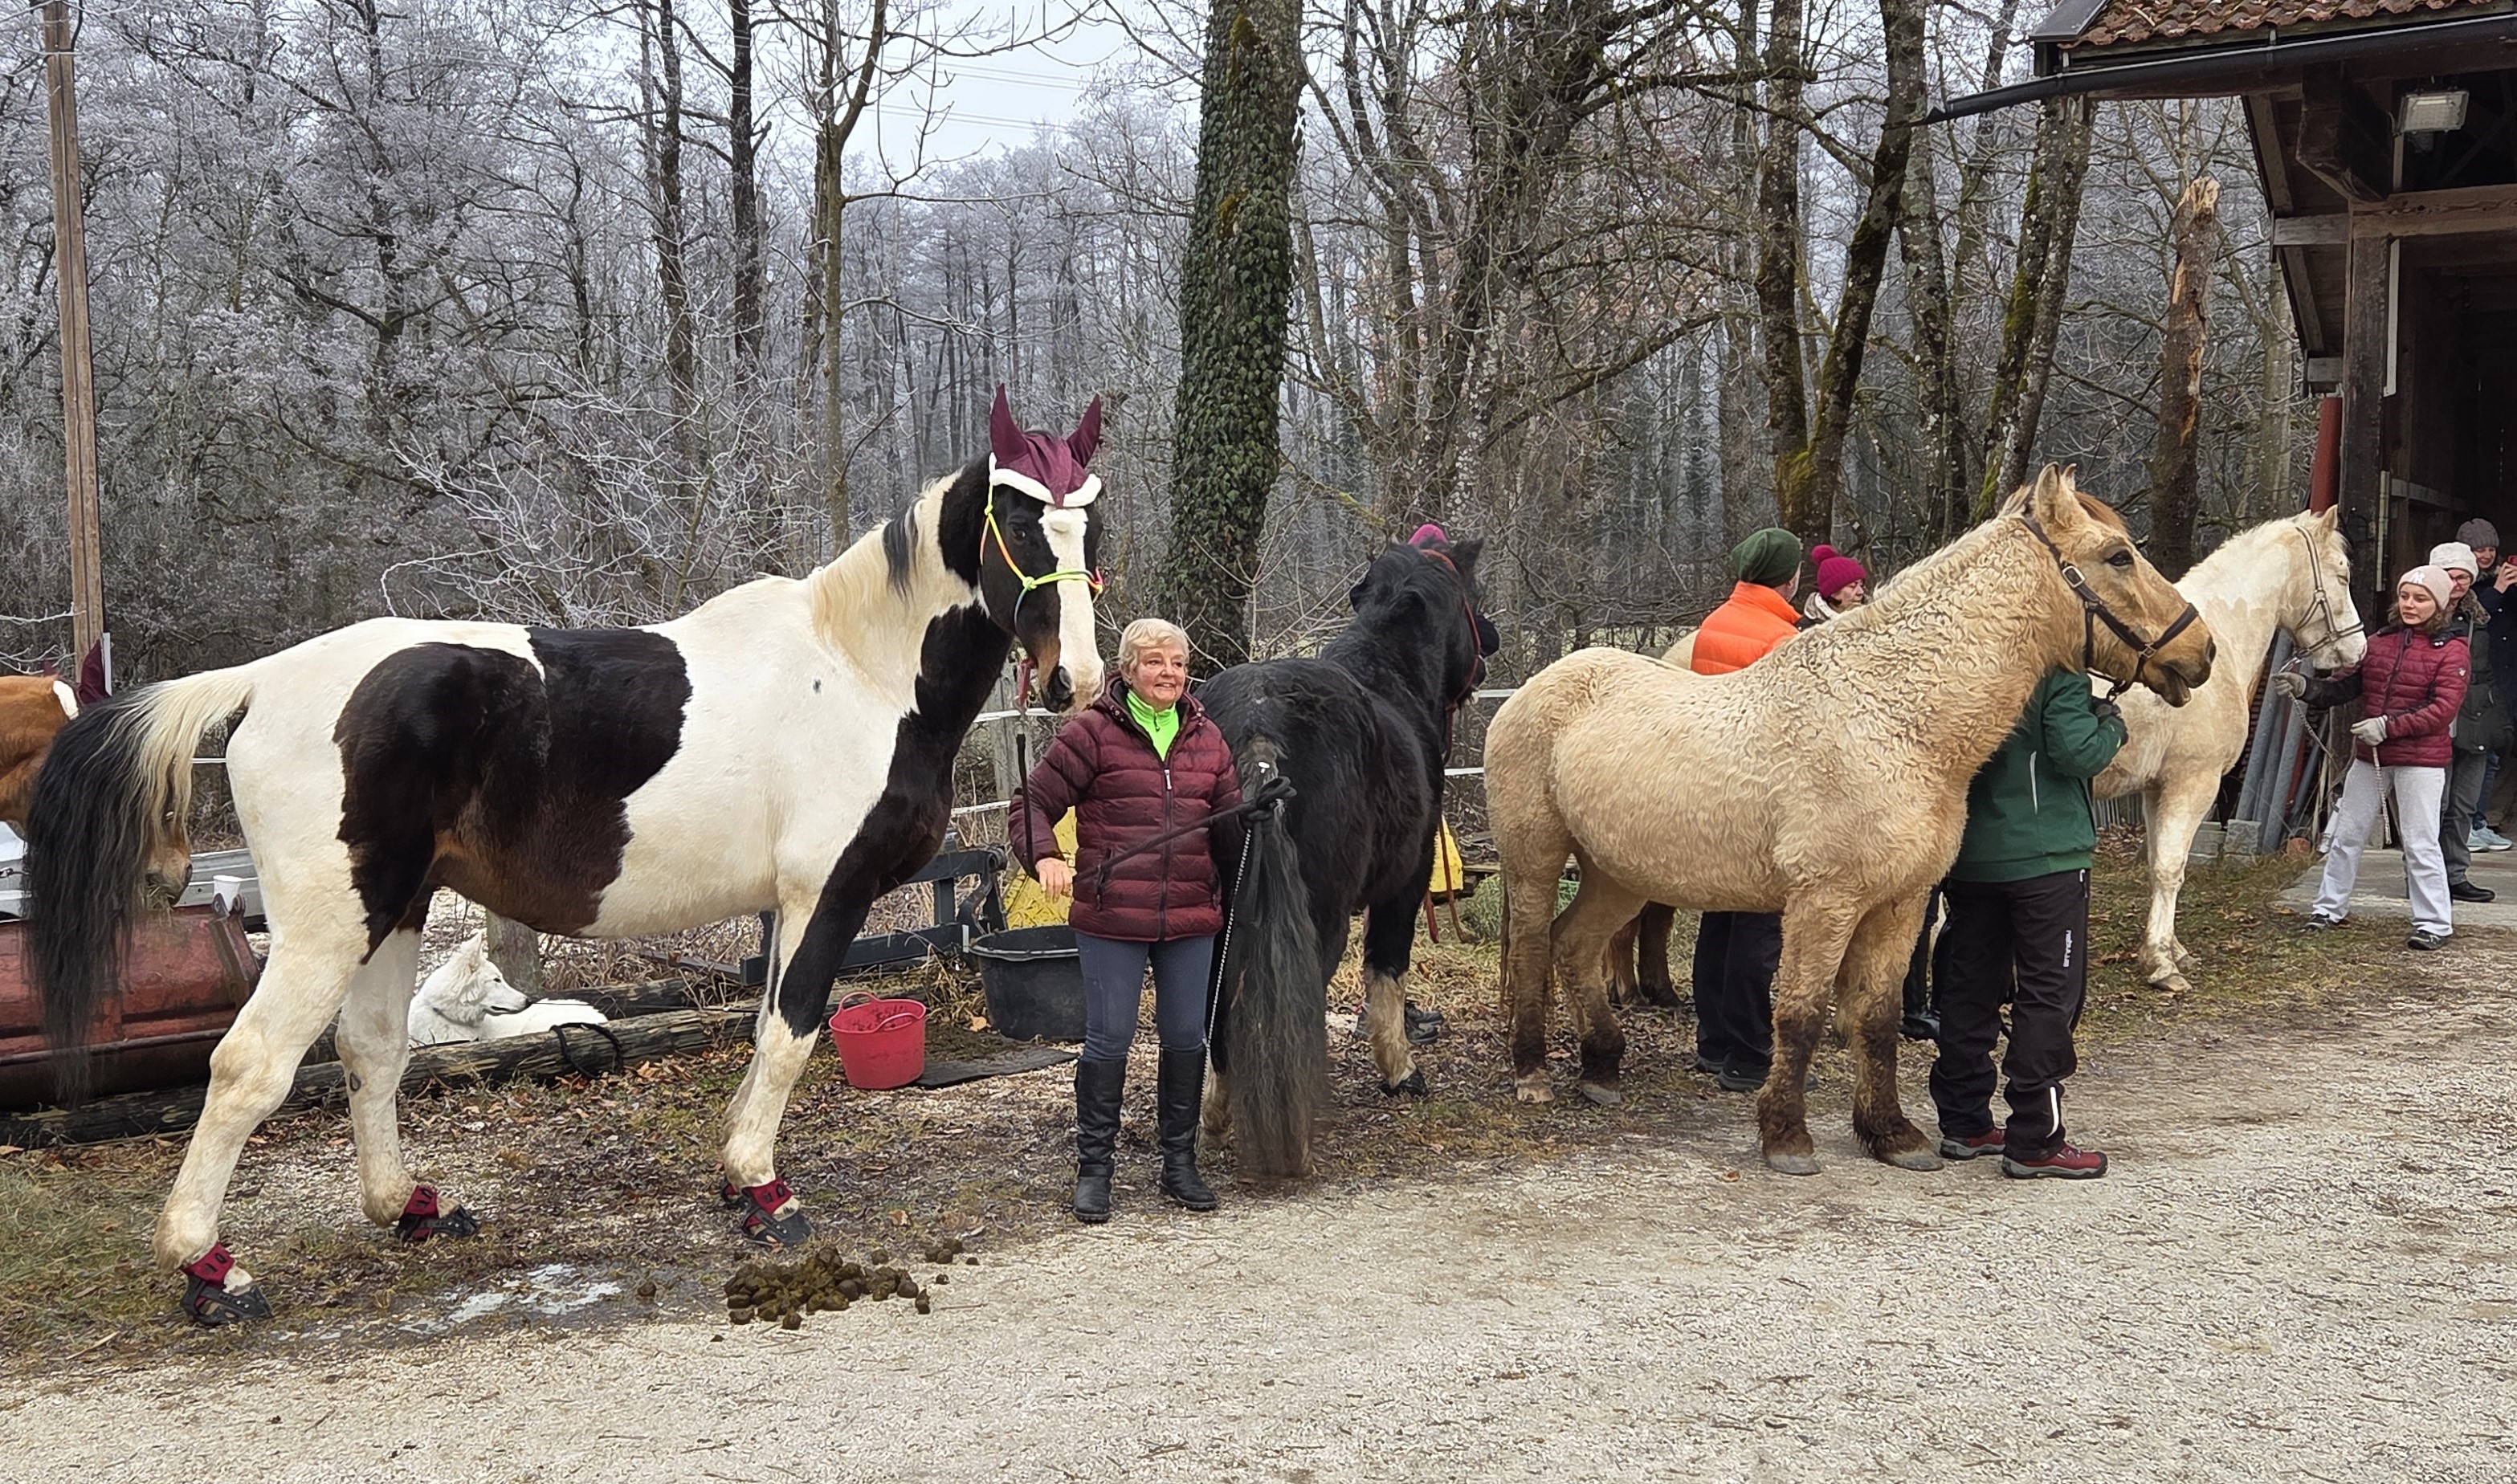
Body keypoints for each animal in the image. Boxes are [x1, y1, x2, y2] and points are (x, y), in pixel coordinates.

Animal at [24, 387, 1107, 1323]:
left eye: (1088, 528)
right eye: (1016, 522)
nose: (1077, 681)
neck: (854, 671)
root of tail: (265, 680)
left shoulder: (782, 906)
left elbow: (765, 1029)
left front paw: (735, 1178)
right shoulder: (822, 898)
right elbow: (791, 1034)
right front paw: (766, 1194)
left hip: (395, 908)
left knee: (370, 1051)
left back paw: (407, 1208)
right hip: (328, 927)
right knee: (251, 1066)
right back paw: (211, 1270)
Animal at [1195, 527, 1500, 1177]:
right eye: (1470, 593)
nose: (1489, 639)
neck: (1388, 676)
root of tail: (1259, 728)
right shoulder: (1405, 886)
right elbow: (1387, 970)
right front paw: (1401, 1072)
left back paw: (1215, 1116)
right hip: (1322, 919)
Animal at [1484, 468, 2216, 1175]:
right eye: (2118, 556)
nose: (2202, 651)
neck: (1892, 719)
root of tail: (1536, 687)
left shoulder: (1900, 902)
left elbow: (1876, 1017)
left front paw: (1892, 1134)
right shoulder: (1824, 901)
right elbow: (1801, 1015)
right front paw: (1786, 1137)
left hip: (1619, 873)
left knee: (1574, 945)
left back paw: (1602, 1067)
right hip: (1536, 860)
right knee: (1534, 946)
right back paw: (1532, 1073)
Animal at [2093, 506, 2365, 992]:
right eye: (2343, 574)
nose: (2359, 649)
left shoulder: (2157, 788)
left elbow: (2158, 865)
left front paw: (2173, 951)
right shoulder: (2193, 783)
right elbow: (2170, 869)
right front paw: (2161, 964)